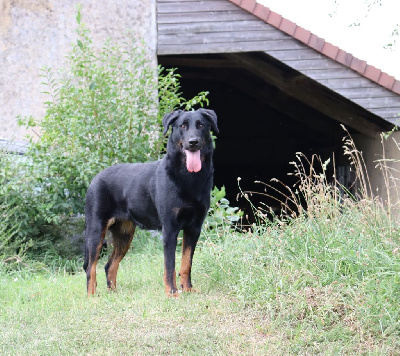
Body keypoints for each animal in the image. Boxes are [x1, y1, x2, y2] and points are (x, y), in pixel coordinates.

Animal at [82, 109, 217, 298]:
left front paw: (188, 289)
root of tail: (94, 179)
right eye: (182, 126)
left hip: (124, 234)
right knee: (91, 267)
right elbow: (170, 266)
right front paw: (172, 292)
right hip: (96, 230)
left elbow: (186, 263)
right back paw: (92, 297)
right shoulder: (170, 229)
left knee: (110, 265)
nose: (193, 142)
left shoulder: (194, 228)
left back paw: (114, 294)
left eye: (201, 125)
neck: (188, 177)